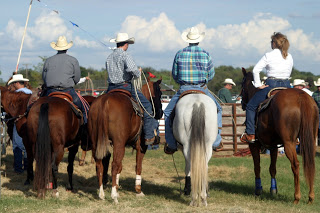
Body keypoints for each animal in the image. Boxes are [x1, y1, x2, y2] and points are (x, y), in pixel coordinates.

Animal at [241, 68, 318, 205]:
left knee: (296, 165)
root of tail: (301, 96)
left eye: (242, 85)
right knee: (310, 164)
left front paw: (258, 190)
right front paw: (273, 190)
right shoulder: (273, 146)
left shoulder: (254, 144)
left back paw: (297, 197)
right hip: (310, 140)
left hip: (289, 143)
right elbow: (272, 168)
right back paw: (310, 197)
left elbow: (257, 167)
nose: (242, 103)